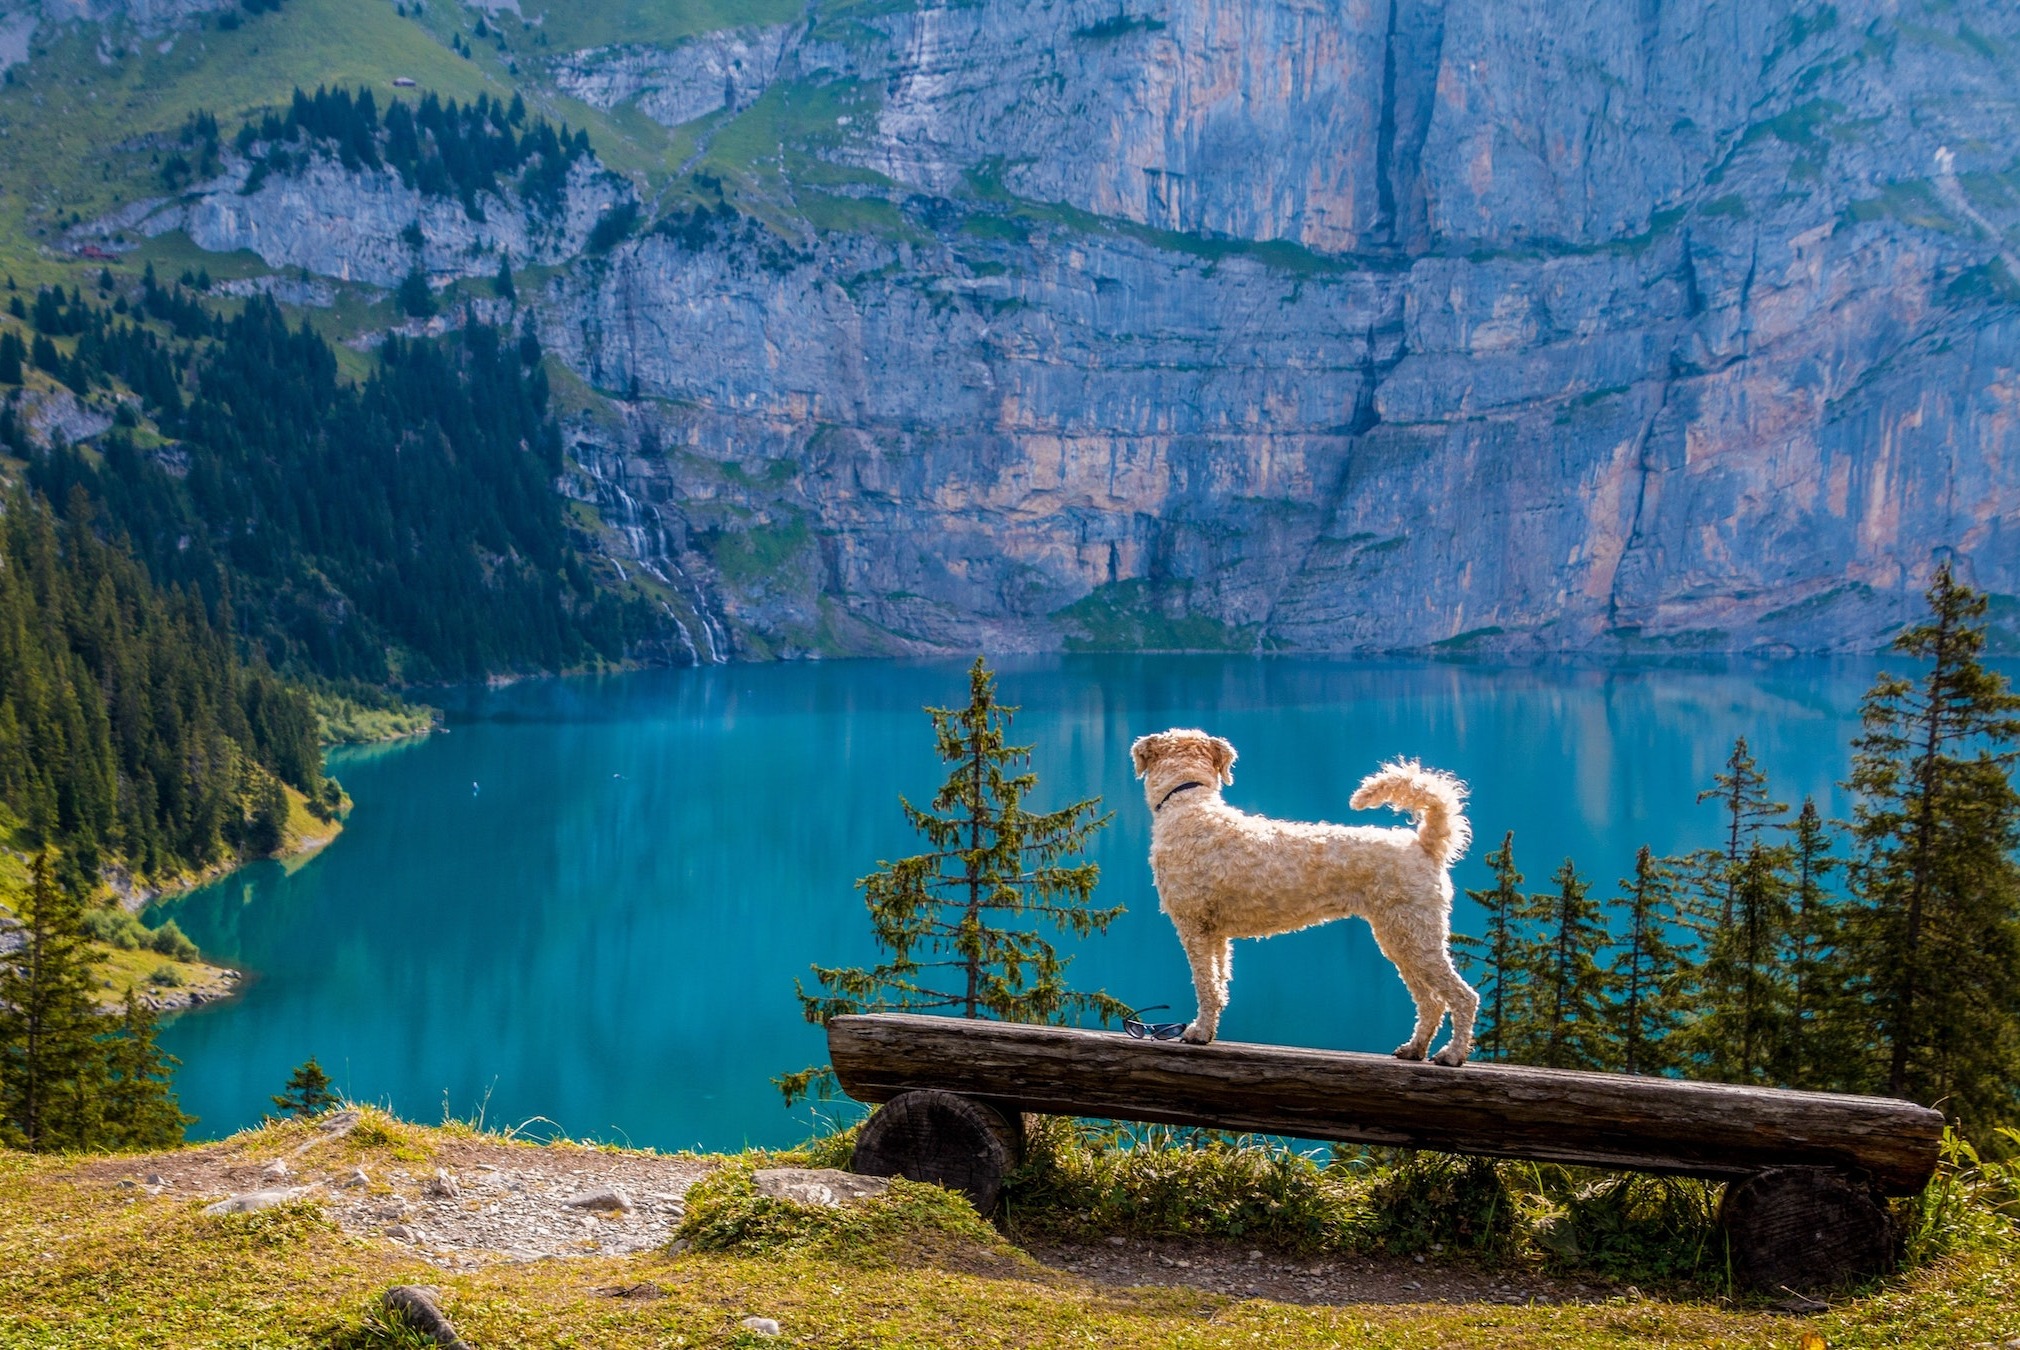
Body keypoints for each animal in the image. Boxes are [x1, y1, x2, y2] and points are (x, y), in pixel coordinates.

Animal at [1131, 727, 1478, 1067]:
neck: (1188, 804)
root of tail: (1424, 845)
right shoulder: (1215, 934)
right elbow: (1218, 984)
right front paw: (1207, 1029)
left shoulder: (1194, 926)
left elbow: (1205, 986)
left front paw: (1198, 1032)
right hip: (1399, 938)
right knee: (1431, 1001)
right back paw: (1414, 1048)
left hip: (1414, 935)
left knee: (1463, 997)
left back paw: (1452, 1054)